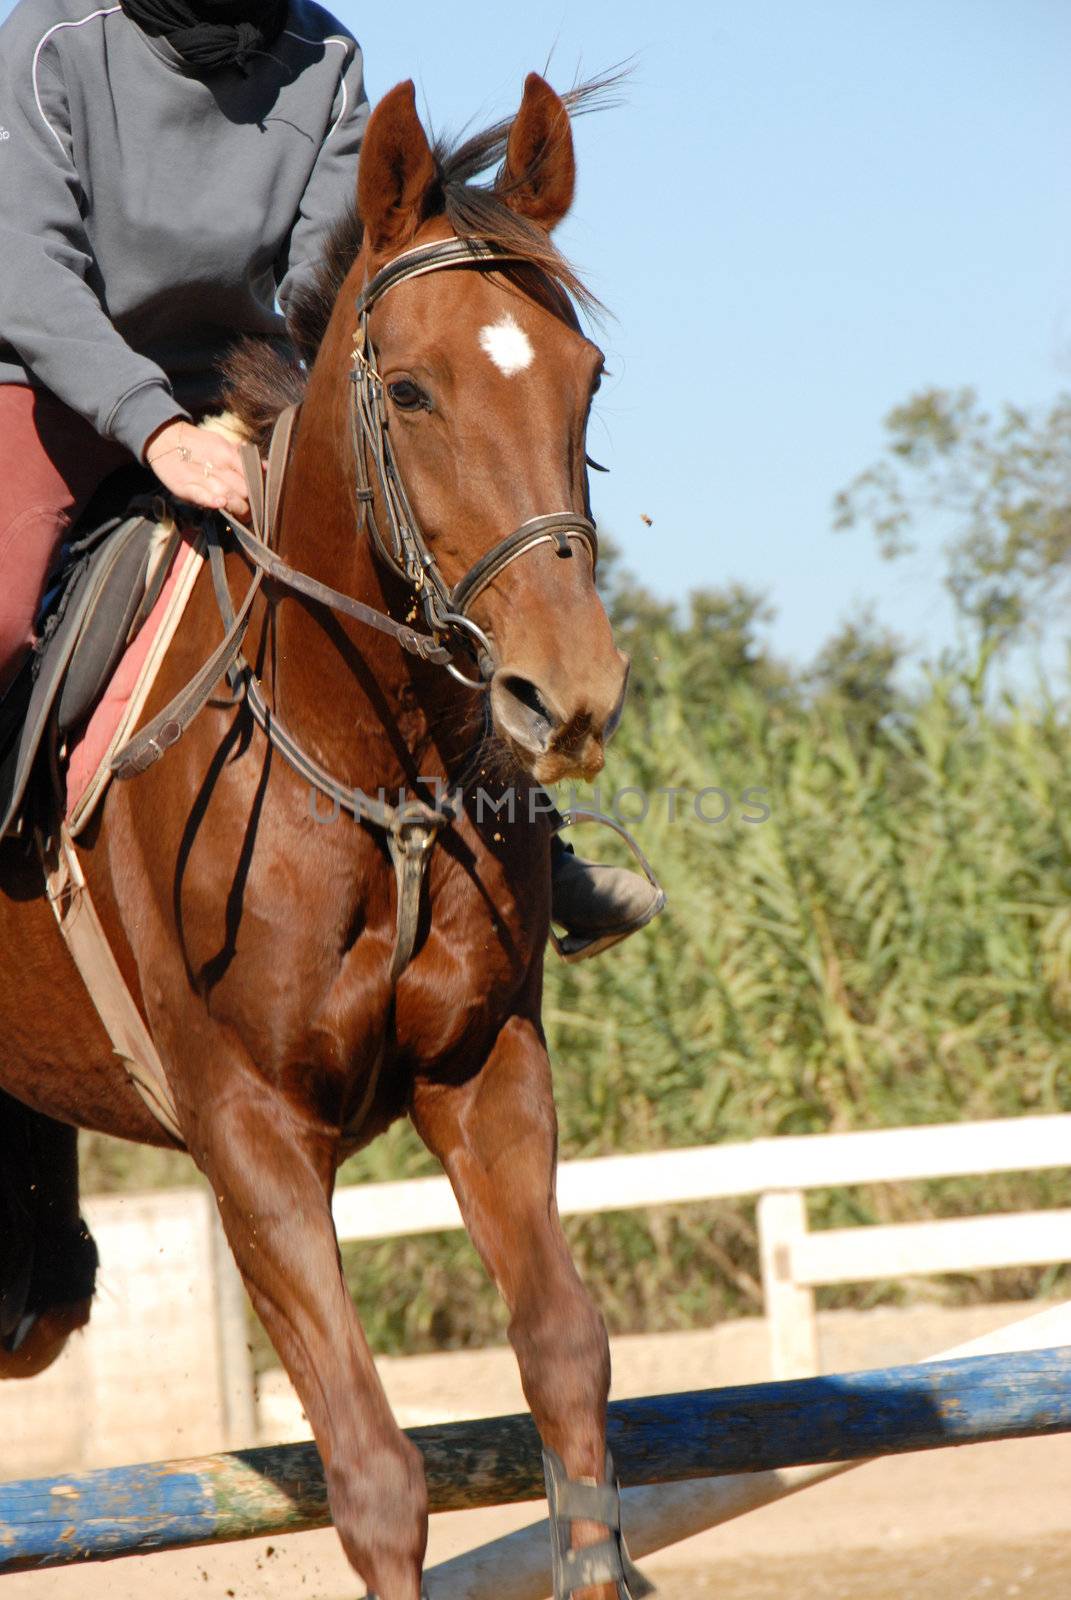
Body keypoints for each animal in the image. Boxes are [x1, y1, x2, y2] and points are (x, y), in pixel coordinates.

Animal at [0, 68, 643, 1593]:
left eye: (586, 378)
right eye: (407, 390)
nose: (570, 695)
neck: (367, 773)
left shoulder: (485, 1070)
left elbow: (564, 1363)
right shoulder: (251, 1137)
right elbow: (372, 1472)